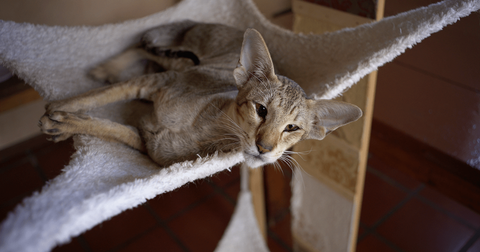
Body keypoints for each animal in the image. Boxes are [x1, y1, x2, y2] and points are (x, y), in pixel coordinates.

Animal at [39, 21, 362, 167]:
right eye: (261, 110)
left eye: (292, 128)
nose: (265, 148)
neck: (202, 128)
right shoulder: (157, 83)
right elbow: (101, 96)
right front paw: (60, 106)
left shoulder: (145, 142)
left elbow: (110, 128)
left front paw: (64, 122)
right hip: (179, 61)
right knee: (141, 47)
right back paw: (106, 67)